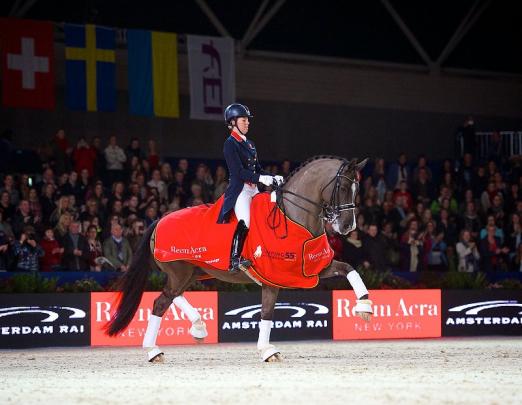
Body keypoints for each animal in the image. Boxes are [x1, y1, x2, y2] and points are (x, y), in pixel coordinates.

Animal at [106, 156, 374, 362]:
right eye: (342, 188)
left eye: (357, 190)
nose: (348, 227)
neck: (293, 217)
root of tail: (159, 220)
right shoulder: (274, 276)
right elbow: (266, 312)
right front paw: (267, 351)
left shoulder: (313, 266)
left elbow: (349, 268)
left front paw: (364, 306)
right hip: (180, 272)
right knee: (161, 303)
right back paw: (153, 350)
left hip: (193, 272)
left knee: (173, 296)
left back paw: (198, 326)